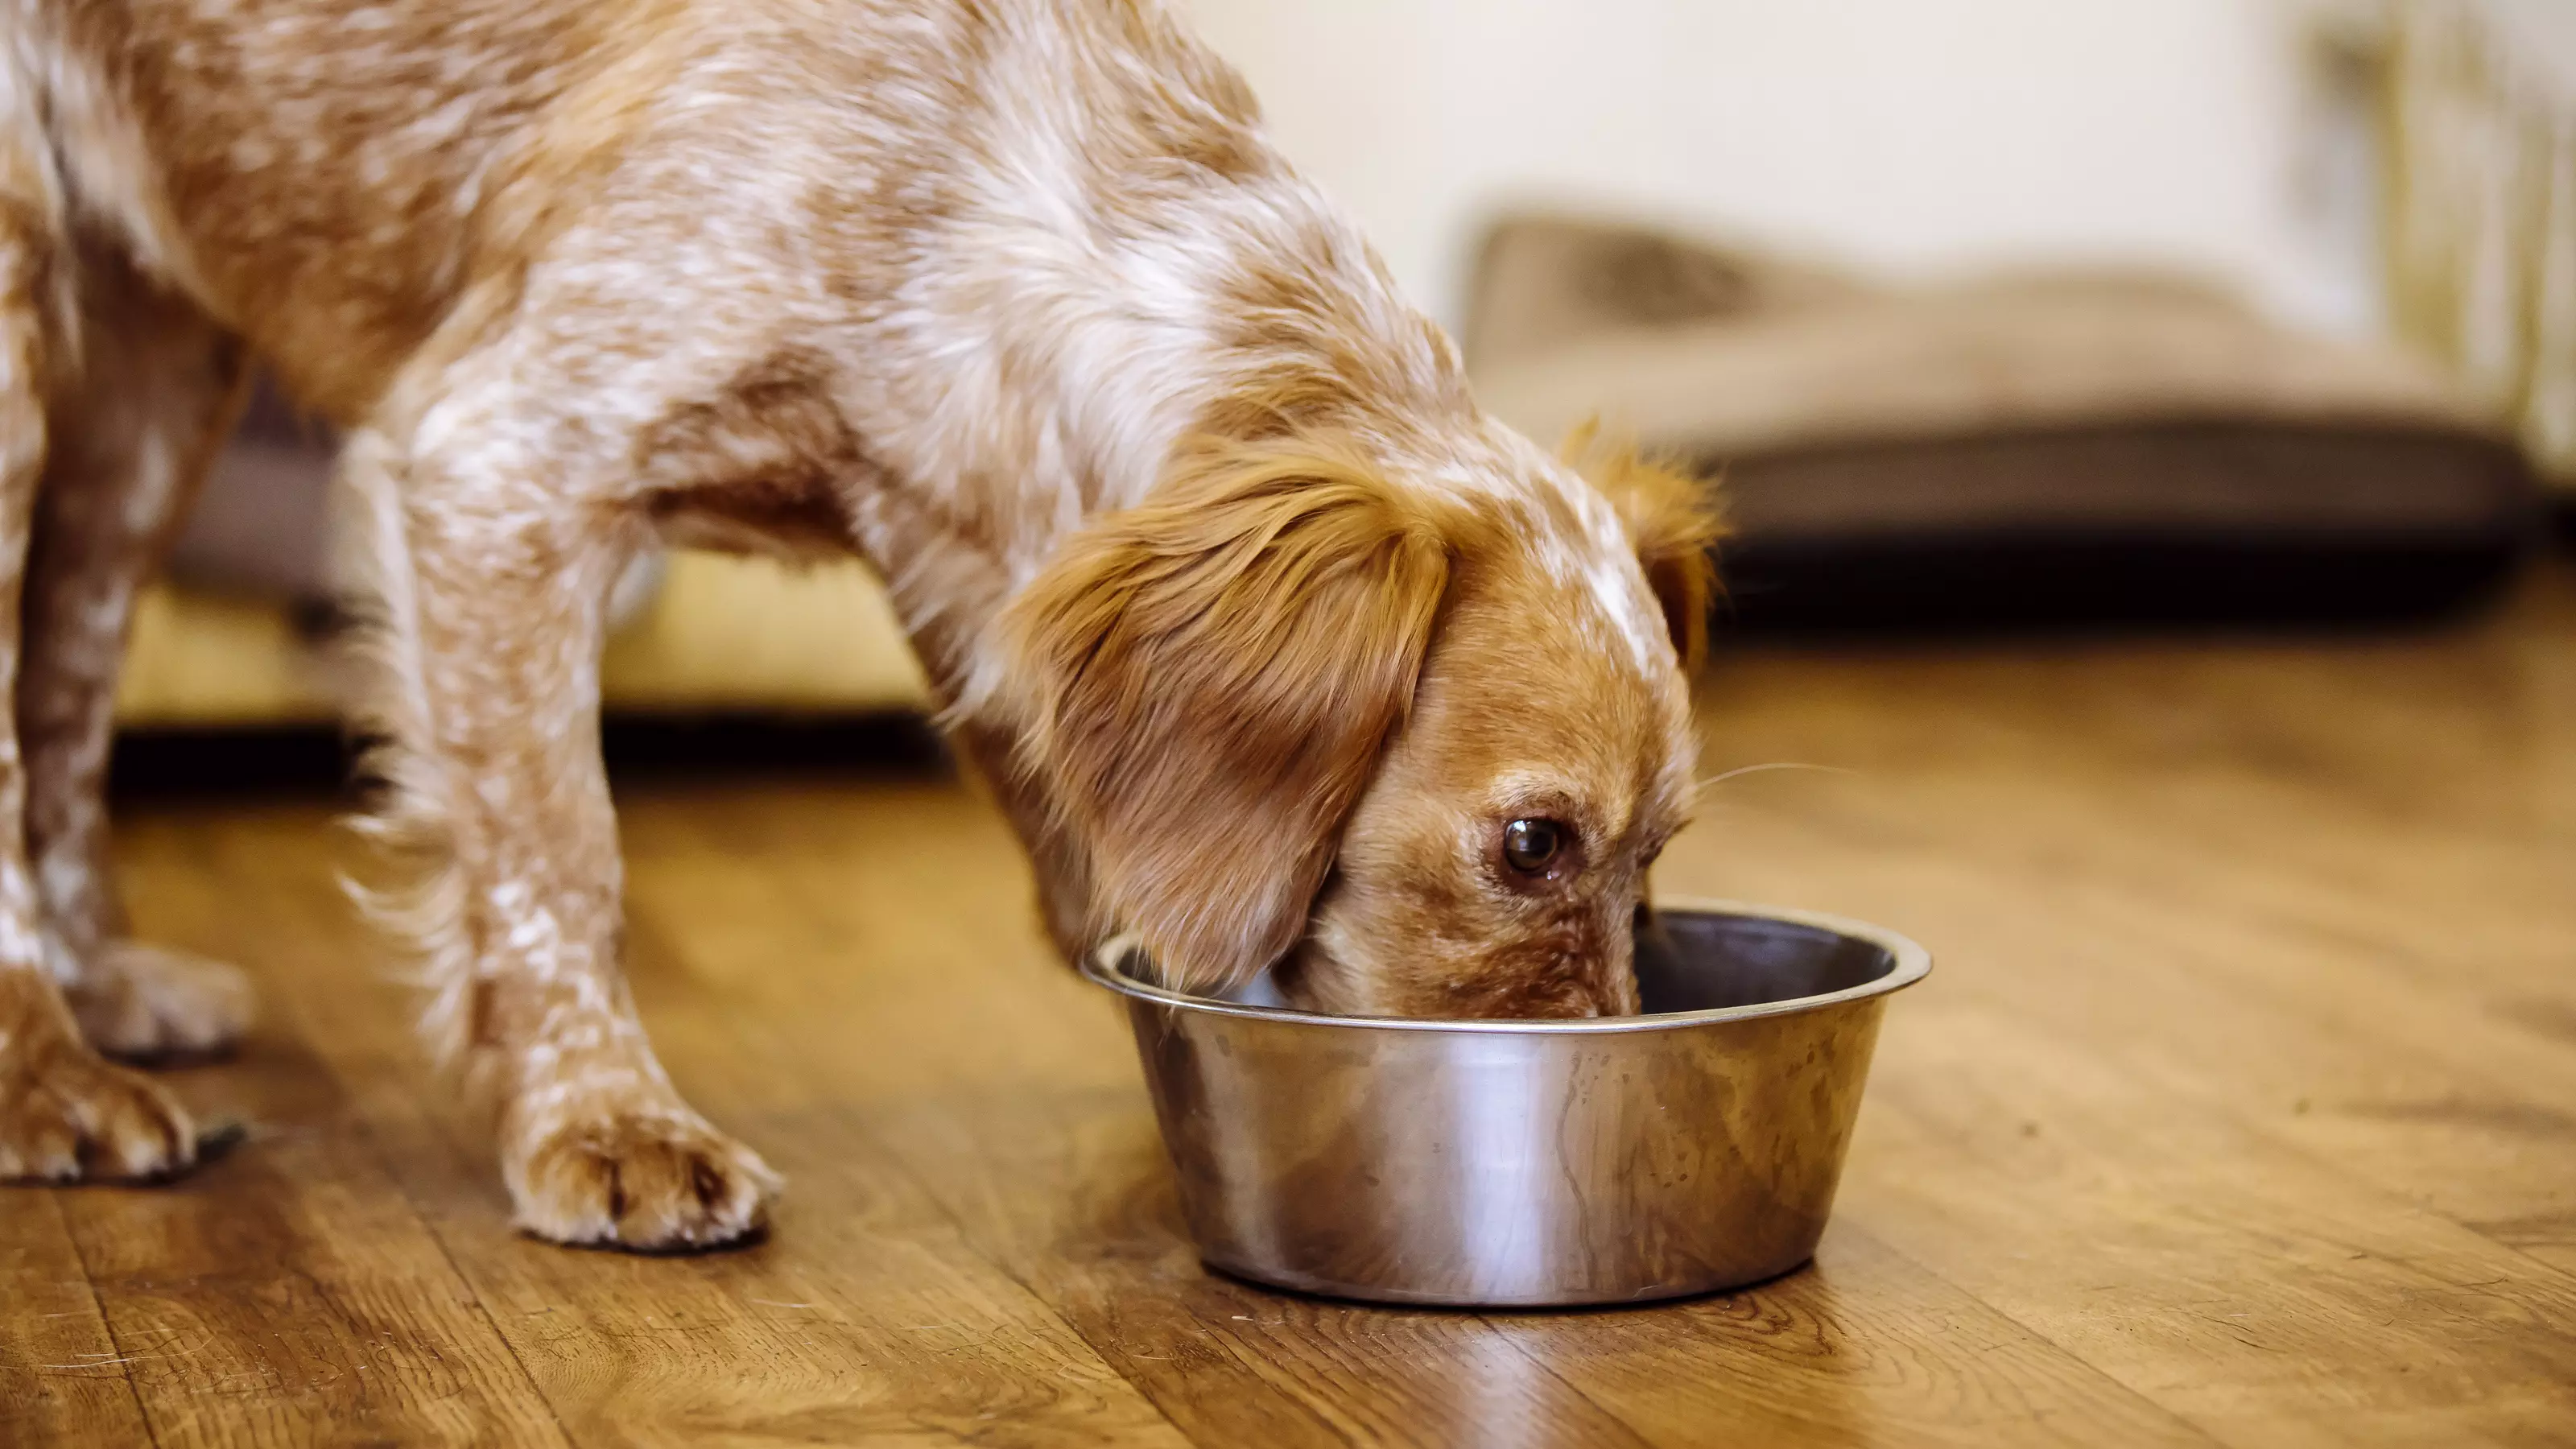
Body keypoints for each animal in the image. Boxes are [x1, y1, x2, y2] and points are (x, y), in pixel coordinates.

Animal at [5, 0, 1731, 1242]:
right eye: (1531, 845)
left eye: (1661, 858)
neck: (983, 178)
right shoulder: (499, 458)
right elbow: (560, 861)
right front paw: (602, 1124)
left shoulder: (963, 576)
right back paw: (45, 1068)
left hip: (146, 395)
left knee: (63, 689)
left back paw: (106, 992)